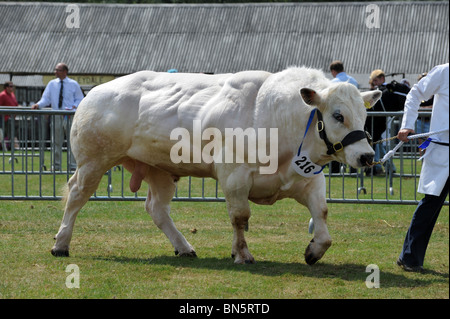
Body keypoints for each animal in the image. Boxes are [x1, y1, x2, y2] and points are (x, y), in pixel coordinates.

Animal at [51, 67, 380, 264]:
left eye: (365, 115)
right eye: (337, 115)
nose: (367, 157)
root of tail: (95, 92)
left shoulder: (309, 179)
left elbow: (322, 216)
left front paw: (314, 250)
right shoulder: (234, 176)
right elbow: (239, 217)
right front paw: (242, 254)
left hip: (159, 170)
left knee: (157, 209)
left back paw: (183, 247)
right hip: (93, 161)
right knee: (76, 197)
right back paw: (61, 243)